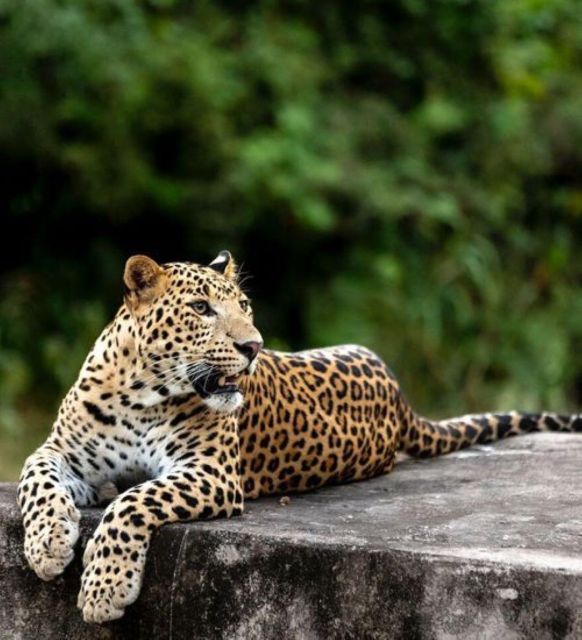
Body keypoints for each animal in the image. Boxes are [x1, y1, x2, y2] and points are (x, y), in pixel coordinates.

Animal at [17, 251, 582, 624]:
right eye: (201, 308)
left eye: (245, 305)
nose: (253, 346)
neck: (141, 391)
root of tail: (399, 392)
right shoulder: (63, 452)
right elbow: (36, 478)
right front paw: (47, 544)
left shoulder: (211, 472)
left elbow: (134, 501)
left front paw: (104, 588)